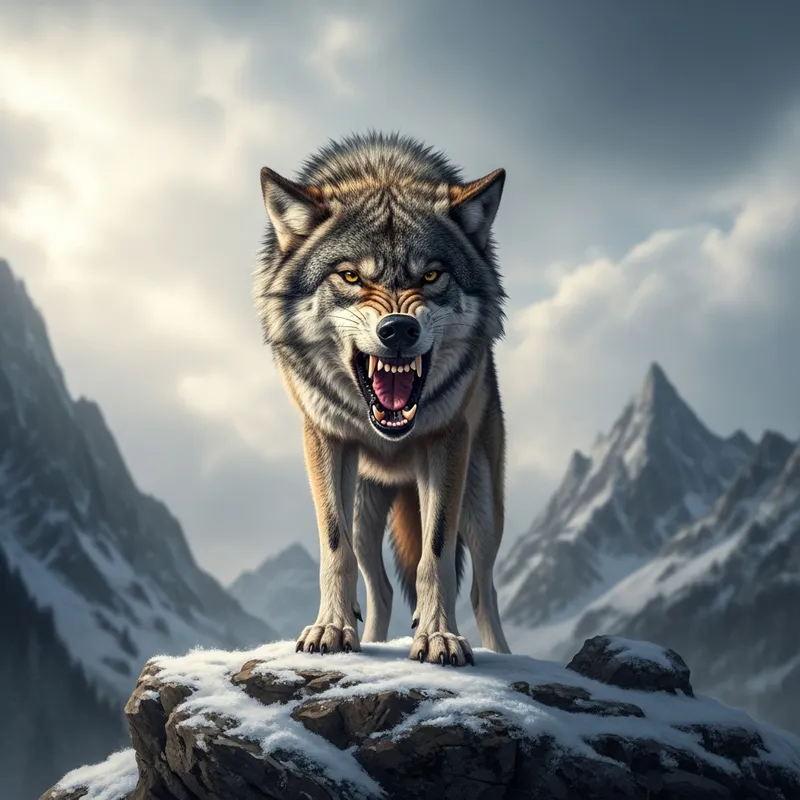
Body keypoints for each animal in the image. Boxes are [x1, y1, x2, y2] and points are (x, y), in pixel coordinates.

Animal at [254, 132, 511, 666]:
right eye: (351, 277)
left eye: (432, 276)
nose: (398, 330)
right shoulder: (324, 439)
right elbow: (335, 550)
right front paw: (330, 630)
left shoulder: (446, 443)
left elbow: (435, 553)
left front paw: (438, 636)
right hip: (365, 509)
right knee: (379, 586)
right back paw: (365, 637)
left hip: (482, 504)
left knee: (484, 589)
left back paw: (502, 651)